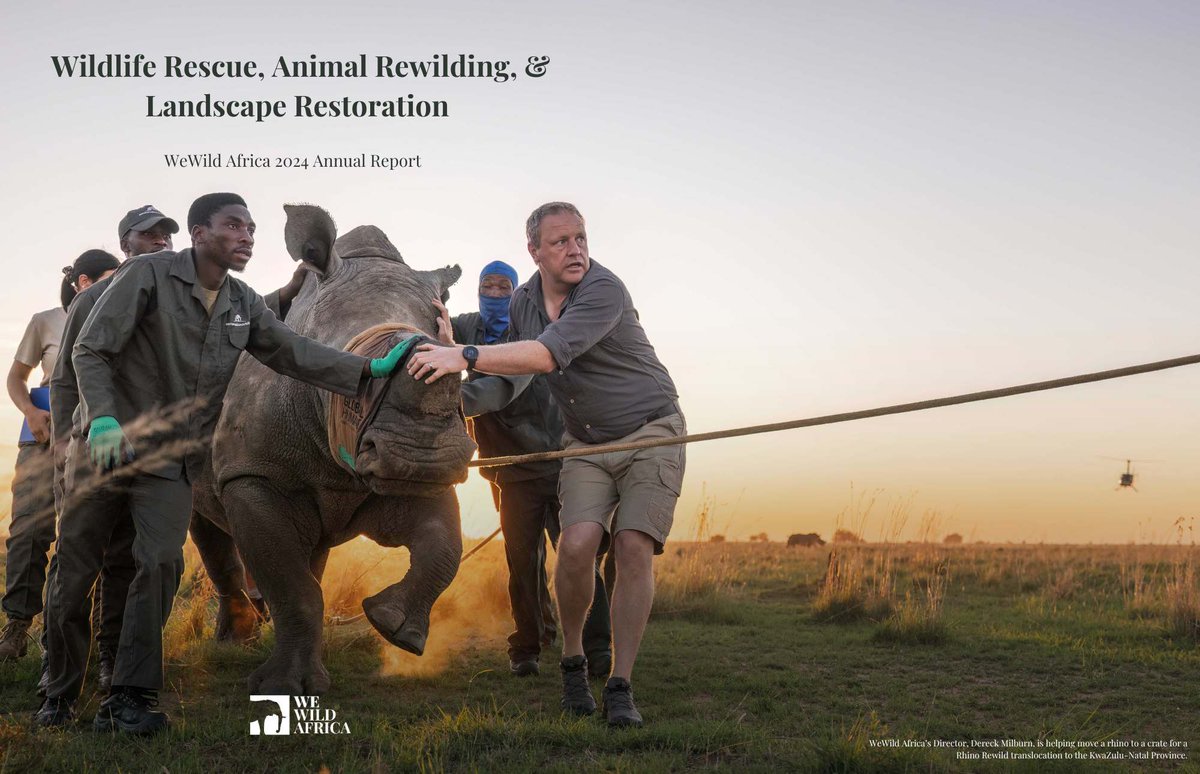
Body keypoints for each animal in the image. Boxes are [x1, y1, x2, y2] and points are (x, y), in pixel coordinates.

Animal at [189, 204, 475, 695]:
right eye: (352, 387)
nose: (424, 458)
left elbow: (445, 546)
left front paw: (394, 627)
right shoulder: (252, 473)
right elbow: (292, 585)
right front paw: (285, 687)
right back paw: (234, 644)